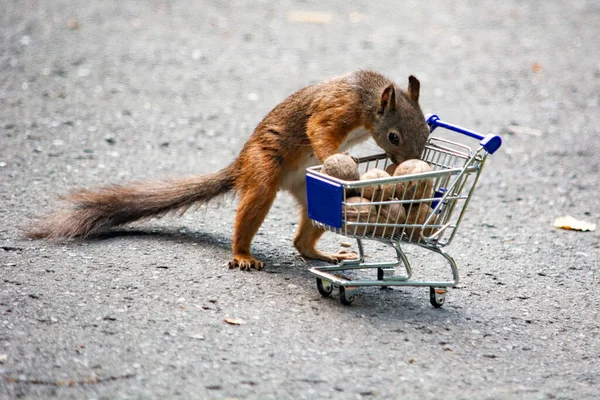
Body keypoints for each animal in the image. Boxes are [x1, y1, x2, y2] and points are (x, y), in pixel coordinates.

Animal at [27, 72, 432, 272]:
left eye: (428, 131)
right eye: (394, 136)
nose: (411, 160)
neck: (368, 97)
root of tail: (241, 163)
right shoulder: (337, 109)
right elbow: (319, 131)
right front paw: (338, 160)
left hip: (314, 197)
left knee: (303, 237)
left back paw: (321, 255)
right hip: (263, 172)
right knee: (252, 208)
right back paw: (242, 255)